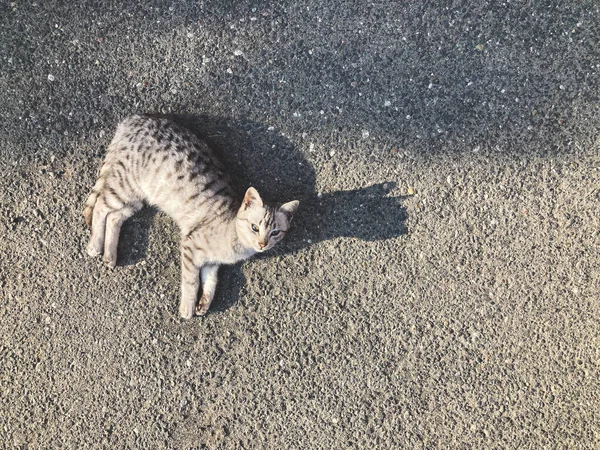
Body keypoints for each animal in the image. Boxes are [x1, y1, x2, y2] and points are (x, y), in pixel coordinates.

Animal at [83, 116, 298, 320]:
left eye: (275, 232)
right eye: (255, 227)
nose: (262, 244)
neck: (236, 247)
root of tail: (135, 118)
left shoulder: (211, 263)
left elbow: (211, 281)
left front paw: (204, 303)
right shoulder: (190, 246)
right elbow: (192, 281)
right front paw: (187, 307)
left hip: (136, 197)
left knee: (114, 217)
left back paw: (110, 255)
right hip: (125, 185)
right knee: (101, 205)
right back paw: (95, 245)